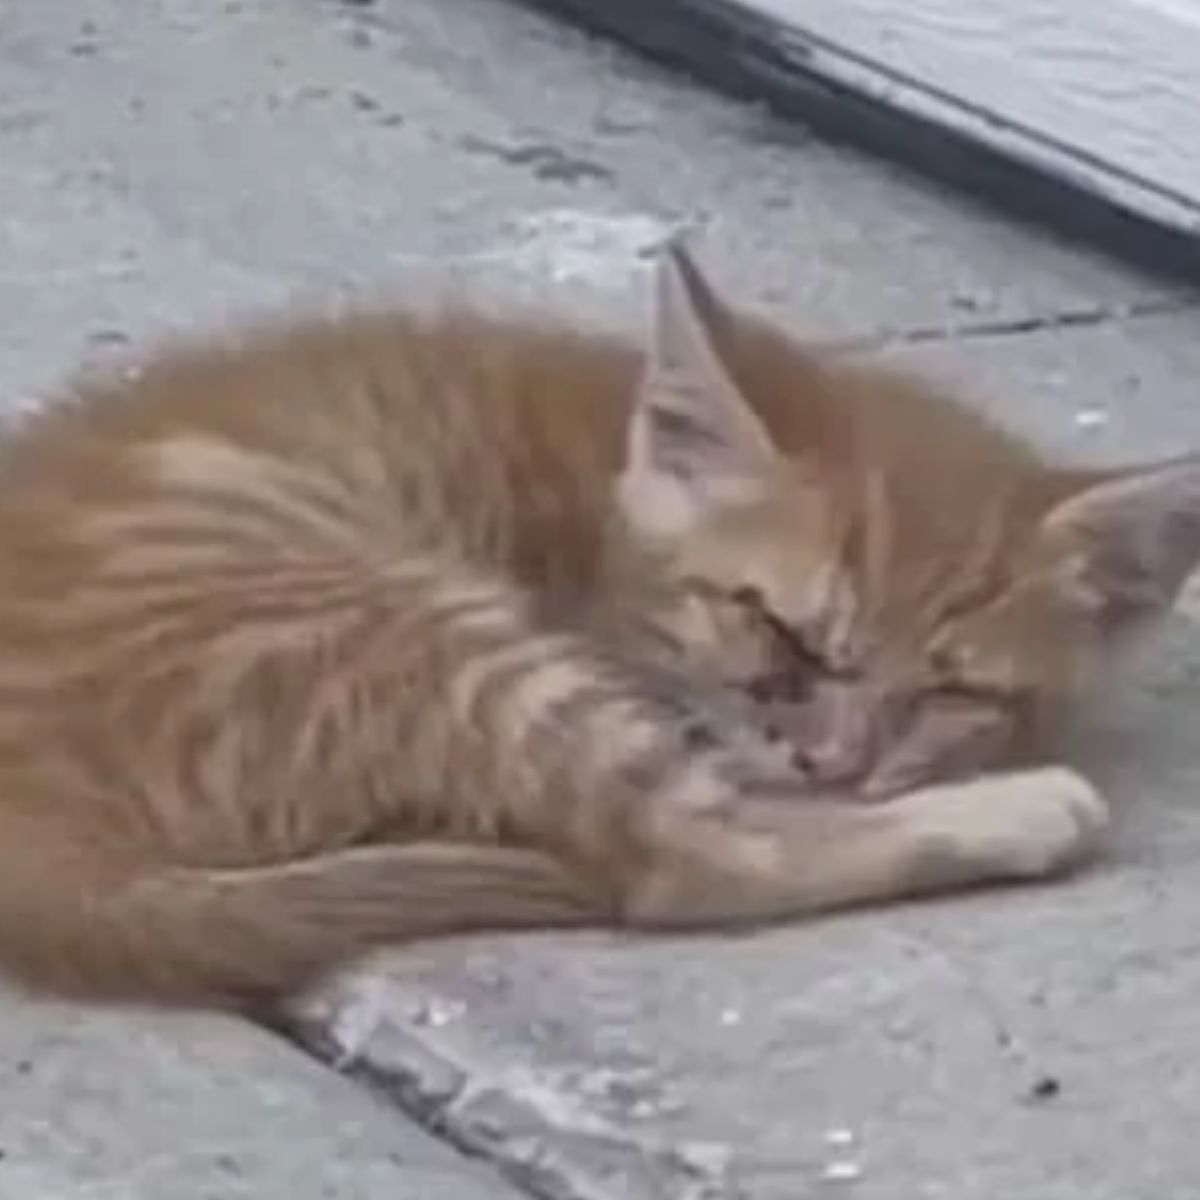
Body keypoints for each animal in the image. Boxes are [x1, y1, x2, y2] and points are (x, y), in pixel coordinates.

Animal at [0, 236, 1195, 1012]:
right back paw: (1022, 811)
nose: (835, 764)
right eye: (781, 632)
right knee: (686, 860)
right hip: (437, 636)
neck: (606, 499)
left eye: (951, 692)